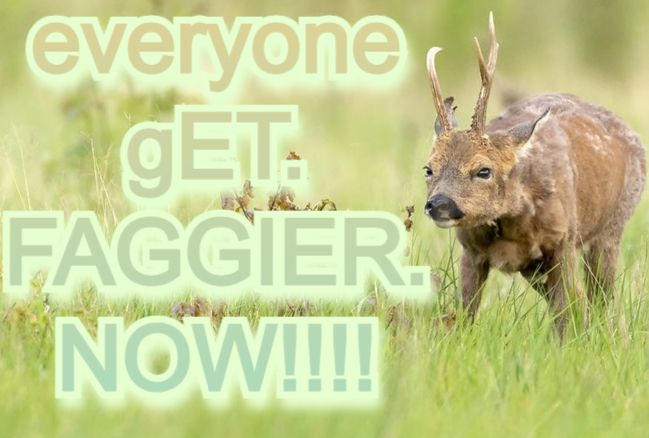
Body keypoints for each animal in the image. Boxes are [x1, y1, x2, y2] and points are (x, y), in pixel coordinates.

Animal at [423, 12, 646, 335]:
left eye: (484, 170)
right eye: (428, 168)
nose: (439, 204)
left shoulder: (563, 242)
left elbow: (565, 316)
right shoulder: (471, 252)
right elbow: (464, 315)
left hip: (611, 230)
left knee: (597, 301)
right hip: (535, 267)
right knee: (582, 302)